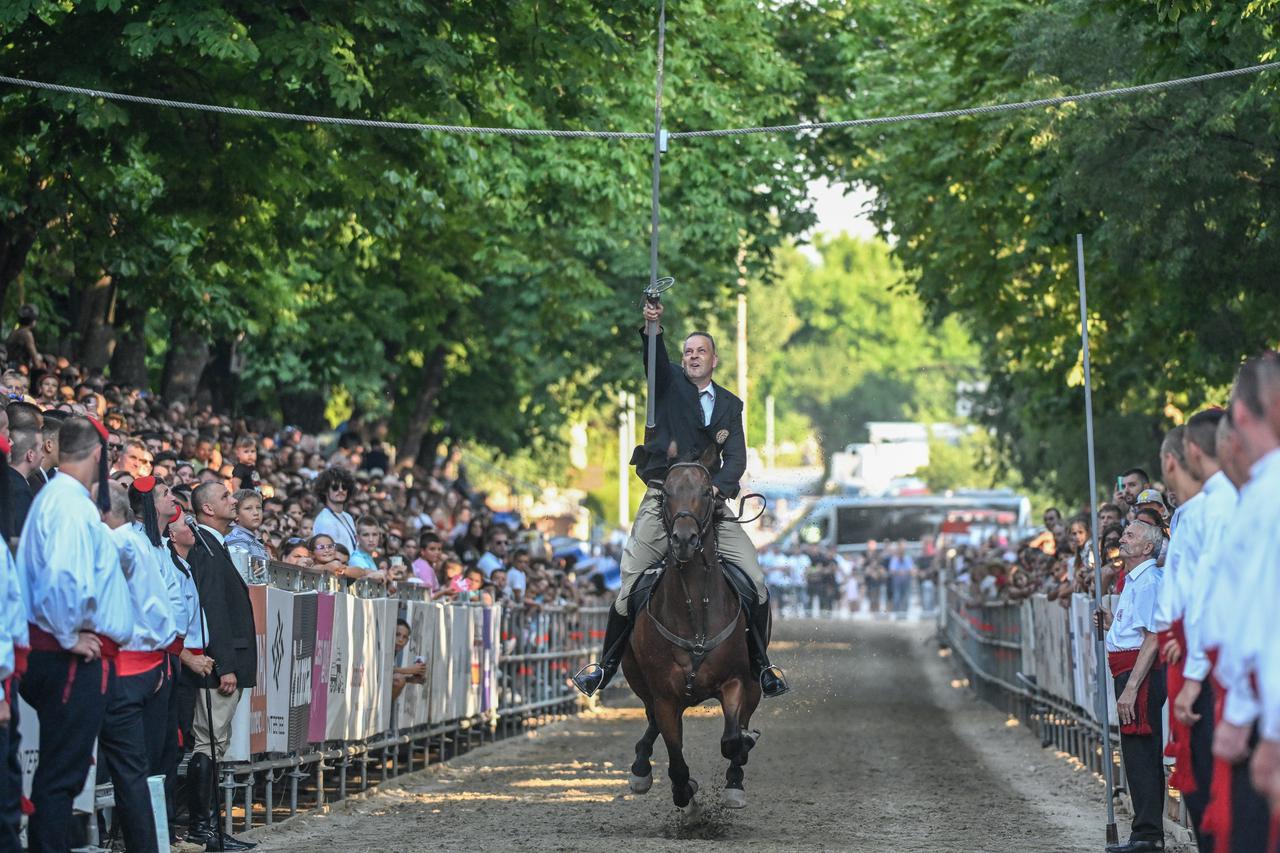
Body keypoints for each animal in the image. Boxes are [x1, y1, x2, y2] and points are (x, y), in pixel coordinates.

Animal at [622, 440, 762, 814]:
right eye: (667, 491)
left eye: (705, 490)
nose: (684, 539)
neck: (694, 611)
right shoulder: (665, 697)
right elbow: (675, 758)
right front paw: (684, 792)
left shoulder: (735, 682)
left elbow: (732, 739)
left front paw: (736, 771)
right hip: (641, 683)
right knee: (651, 721)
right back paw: (641, 770)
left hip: (756, 686)